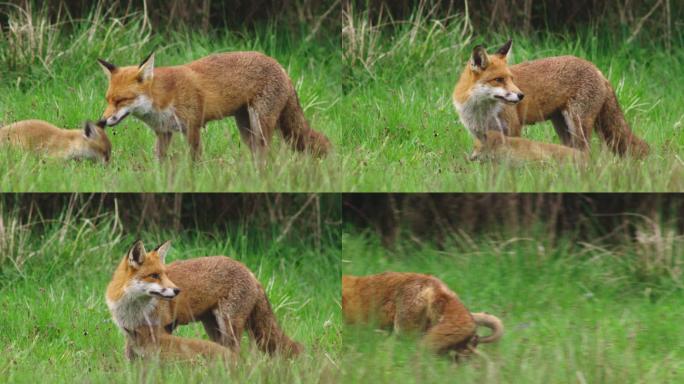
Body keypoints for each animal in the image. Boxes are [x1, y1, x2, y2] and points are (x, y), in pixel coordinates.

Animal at [97, 51, 332, 160]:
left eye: (121, 100)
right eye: (108, 99)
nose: (101, 121)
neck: (164, 97)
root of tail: (281, 66)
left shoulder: (192, 127)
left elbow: (195, 162)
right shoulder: (163, 133)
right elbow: (160, 163)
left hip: (260, 126)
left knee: (268, 155)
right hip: (246, 129)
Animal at [105, 238, 234, 362]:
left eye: (166, 275)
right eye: (154, 276)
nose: (177, 290)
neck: (134, 312)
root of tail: (237, 263)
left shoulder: (161, 329)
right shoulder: (130, 332)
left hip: (229, 328)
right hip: (212, 327)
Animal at [452, 39, 648, 158]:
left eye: (511, 79)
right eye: (499, 80)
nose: (521, 95)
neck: (481, 111)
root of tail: (598, 70)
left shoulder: (512, 129)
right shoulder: (480, 136)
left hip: (577, 124)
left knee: (586, 153)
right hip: (563, 128)